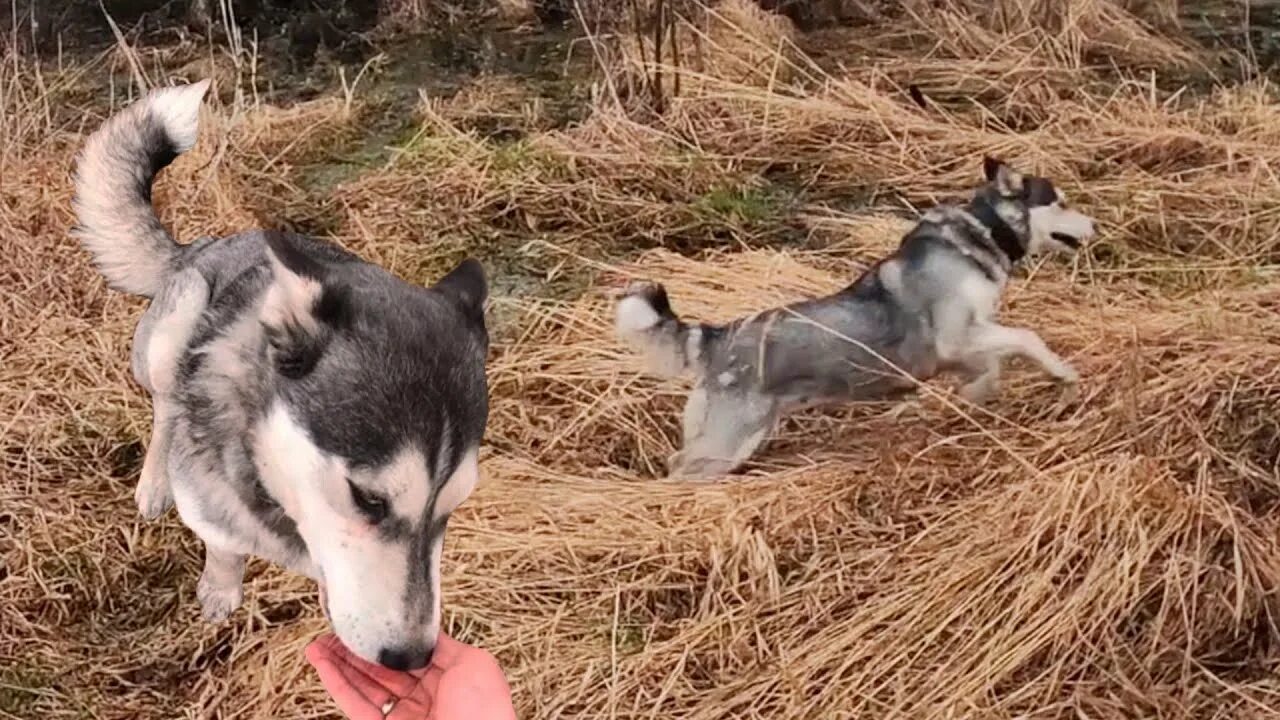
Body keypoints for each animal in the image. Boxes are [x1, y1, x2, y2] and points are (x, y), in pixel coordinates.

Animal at [72, 81, 488, 671]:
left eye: (455, 506)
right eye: (369, 500)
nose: (412, 659)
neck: (276, 484)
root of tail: (203, 244)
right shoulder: (212, 506)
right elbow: (223, 546)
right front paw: (220, 590)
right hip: (177, 321)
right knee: (164, 406)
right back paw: (154, 480)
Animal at [614, 159, 1095, 479]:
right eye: (1061, 201)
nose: (1095, 224)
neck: (983, 231)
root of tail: (718, 337)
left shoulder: (956, 350)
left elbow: (991, 370)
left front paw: (969, 397)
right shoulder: (956, 336)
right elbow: (1027, 338)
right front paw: (1064, 375)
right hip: (723, 446)